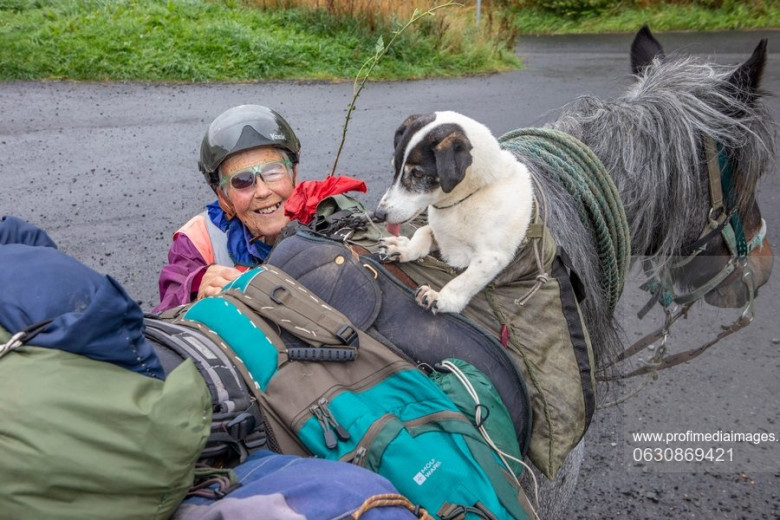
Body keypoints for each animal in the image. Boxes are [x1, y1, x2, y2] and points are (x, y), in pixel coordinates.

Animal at [374, 111, 532, 312]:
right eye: (394, 167)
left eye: (418, 174)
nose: (378, 215)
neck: (465, 200)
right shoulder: (439, 233)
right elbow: (422, 231)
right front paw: (405, 248)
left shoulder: (493, 257)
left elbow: (464, 281)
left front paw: (442, 298)